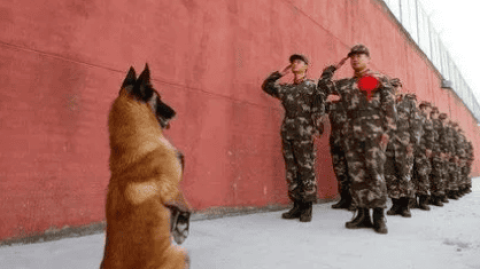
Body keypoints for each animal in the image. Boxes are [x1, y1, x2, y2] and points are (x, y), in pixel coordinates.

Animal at [100, 65, 191, 268]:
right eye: (159, 97)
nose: (175, 112)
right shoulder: (171, 189)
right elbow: (186, 207)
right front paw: (182, 228)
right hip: (181, 255)